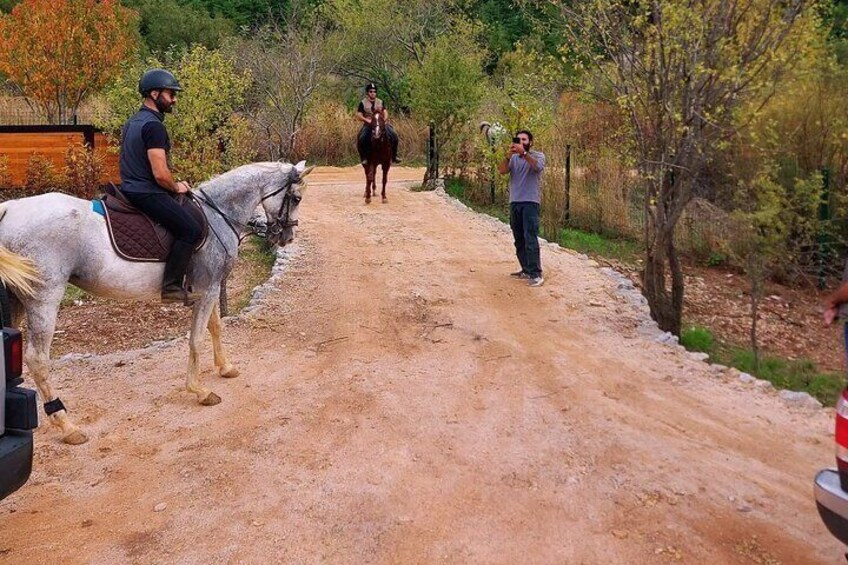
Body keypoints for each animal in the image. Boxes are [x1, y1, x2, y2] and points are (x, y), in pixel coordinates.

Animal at [0, 160, 314, 446]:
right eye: (296, 198)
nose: (287, 237)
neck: (218, 214)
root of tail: (10, 209)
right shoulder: (208, 288)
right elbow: (197, 338)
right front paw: (199, 390)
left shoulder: (209, 288)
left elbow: (215, 328)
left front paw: (225, 368)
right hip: (44, 298)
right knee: (37, 359)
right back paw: (67, 425)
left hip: (15, 300)